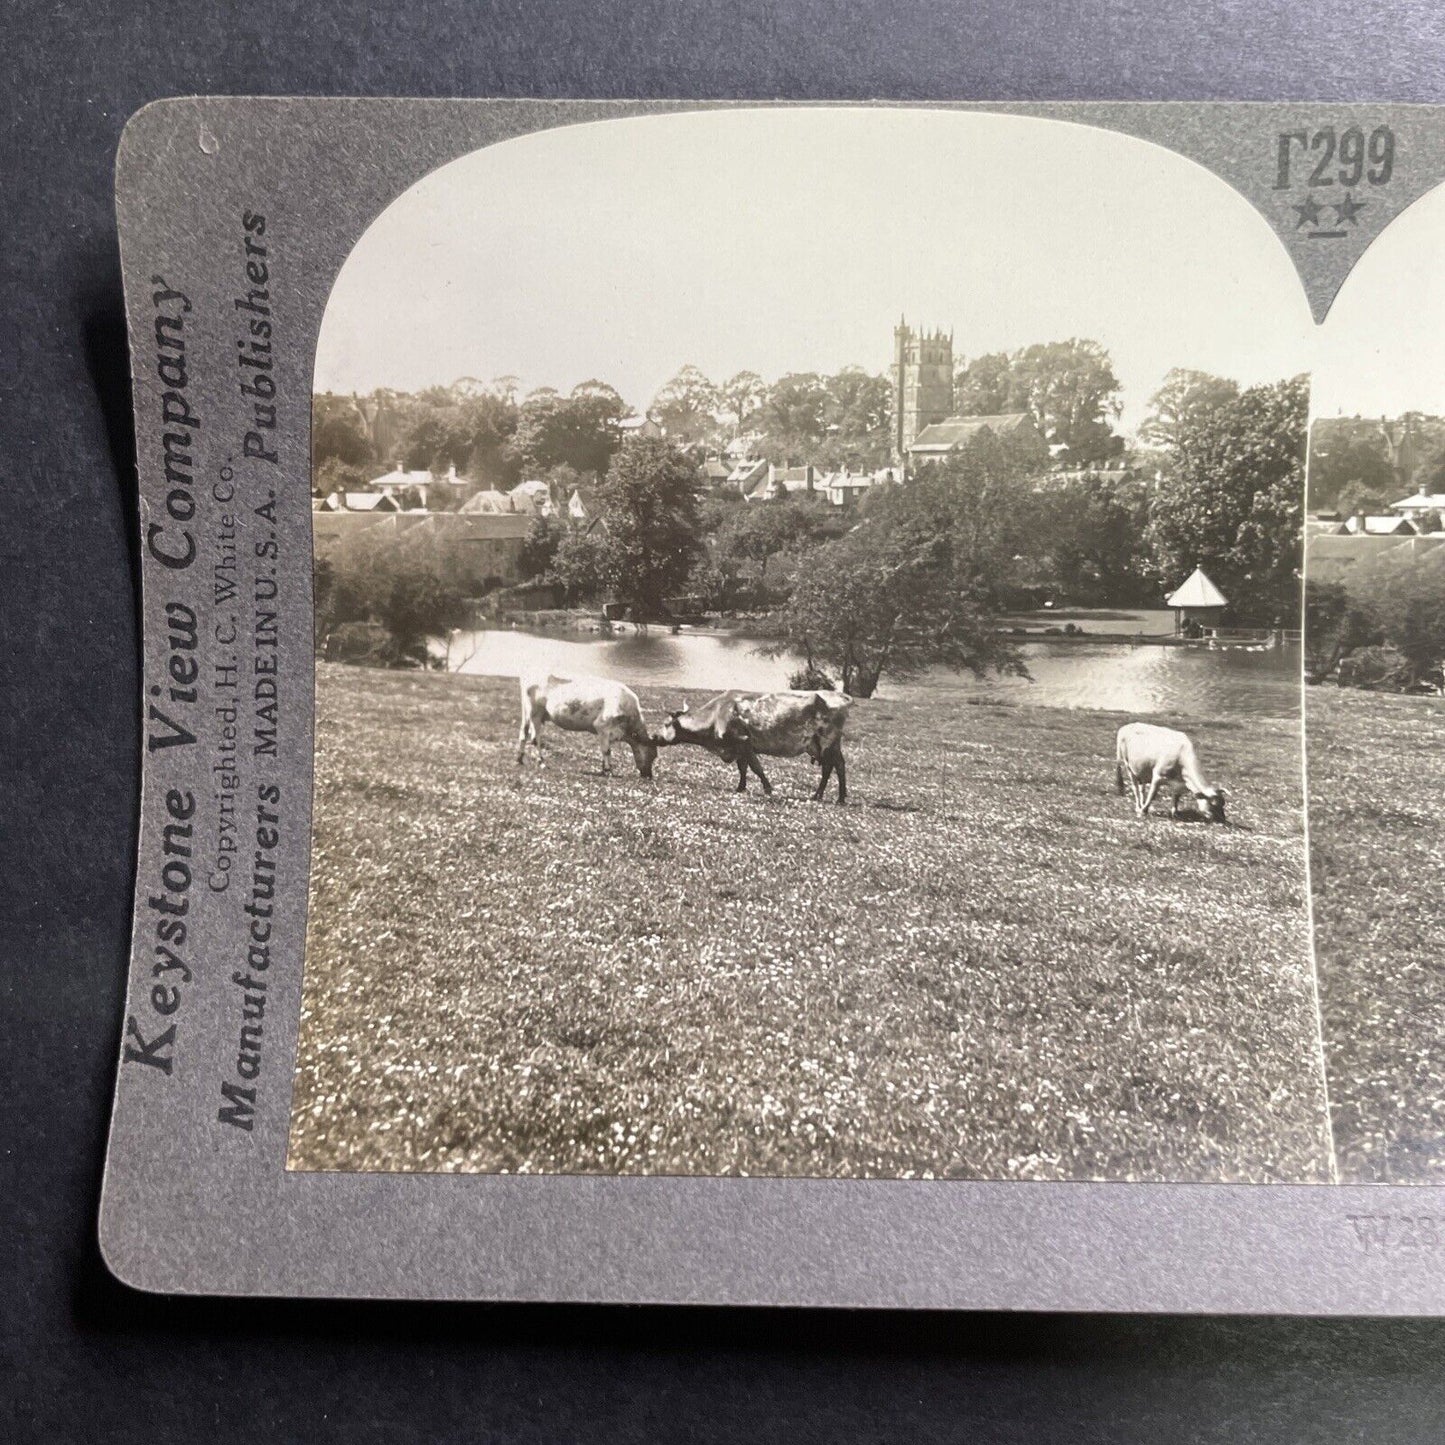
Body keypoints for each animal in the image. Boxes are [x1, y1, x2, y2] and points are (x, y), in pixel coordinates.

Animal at [517, 673, 658, 780]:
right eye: (653, 755)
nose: (649, 775)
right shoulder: (602, 726)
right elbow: (606, 750)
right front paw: (608, 770)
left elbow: (607, 750)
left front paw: (604, 768)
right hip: (535, 713)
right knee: (535, 739)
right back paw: (541, 762)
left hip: (528, 713)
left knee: (524, 732)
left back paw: (519, 759)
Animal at [653, 687, 849, 803]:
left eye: (665, 723)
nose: (654, 736)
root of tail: (841, 695)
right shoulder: (738, 748)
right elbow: (743, 768)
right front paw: (740, 787)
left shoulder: (744, 741)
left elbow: (756, 767)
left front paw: (768, 788)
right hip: (820, 745)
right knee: (833, 766)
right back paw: (828, 796)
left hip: (828, 741)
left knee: (834, 766)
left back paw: (832, 797)